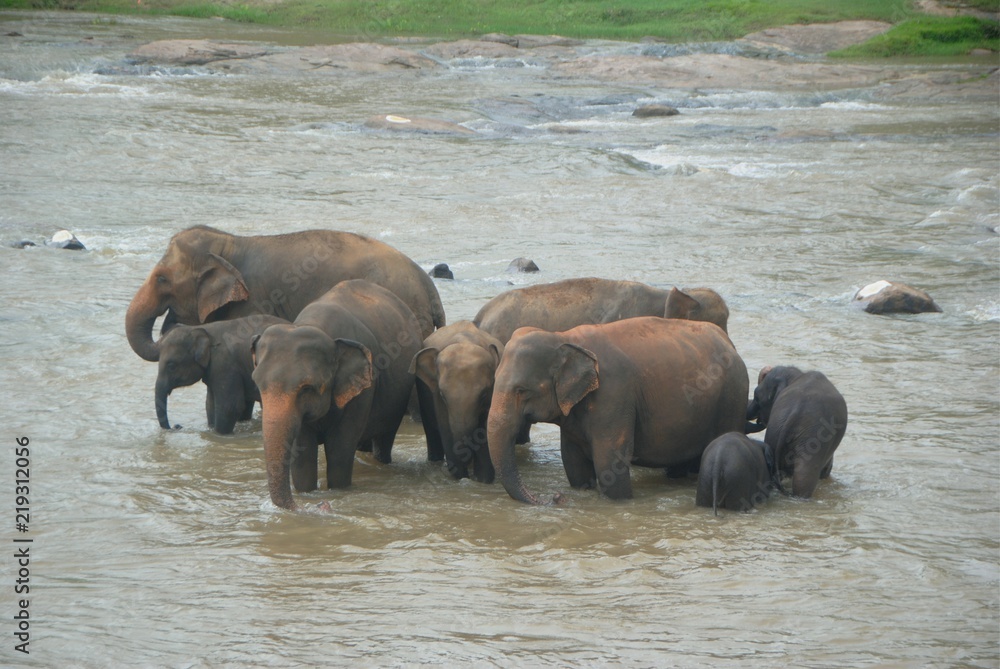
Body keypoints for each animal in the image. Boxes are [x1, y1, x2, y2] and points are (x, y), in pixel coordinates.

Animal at [155, 314, 287, 434]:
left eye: (171, 366)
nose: (177, 426)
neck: (202, 329)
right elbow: (210, 404)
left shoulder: (225, 366)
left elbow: (230, 406)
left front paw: (218, 435)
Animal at [250, 280, 423, 511]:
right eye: (258, 385)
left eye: (307, 388)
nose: (322, 504)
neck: (315, 326)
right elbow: (303, 453)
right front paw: (306, 492)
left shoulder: (363, 390)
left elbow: (340, 448)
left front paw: (338, 491)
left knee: (384, 439)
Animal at [410, 321, 504, 483]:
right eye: (442, 395)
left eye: (484, 395)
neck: (465, 341)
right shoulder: (436, 394)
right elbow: (445, 427)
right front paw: (460, 477)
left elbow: (484, 429)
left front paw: (483, 480)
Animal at [487, 317, 748, 505]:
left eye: (521, 390)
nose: (556, 497)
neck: (563, 336)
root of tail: (729, 342)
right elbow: (573, 462)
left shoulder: (614, 395)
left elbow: (608, 462)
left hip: (732, 396)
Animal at [745, 366, 848, 499]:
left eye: (757, 397)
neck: (797, 375)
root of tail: (795, 411)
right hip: (812, 440)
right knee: (804, 478)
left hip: (776, 429)